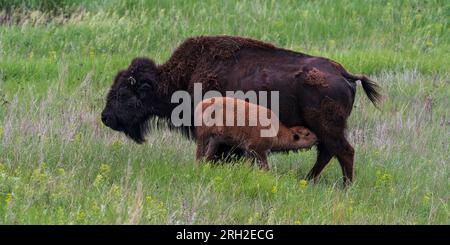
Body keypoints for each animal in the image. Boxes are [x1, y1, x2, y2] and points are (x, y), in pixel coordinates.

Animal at [101, 35, 380, 185]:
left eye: (123, 93)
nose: (105, 117)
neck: (183, 76)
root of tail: (344, 74)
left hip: (329, 128)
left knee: (343, 151)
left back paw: (344, 187)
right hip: (326, 130)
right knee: (327, 153)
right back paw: (309, 181)